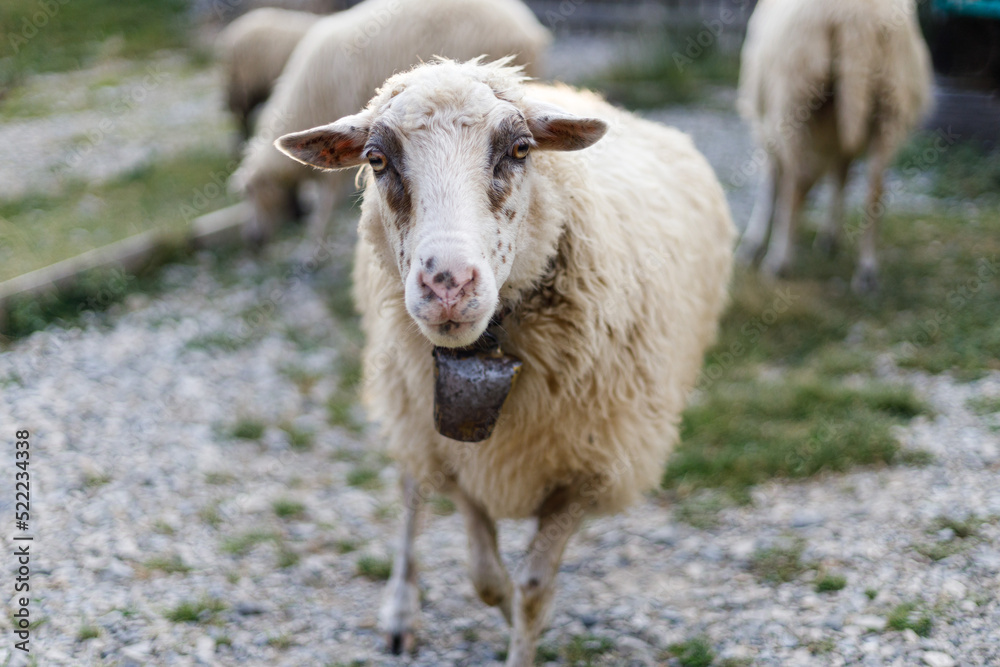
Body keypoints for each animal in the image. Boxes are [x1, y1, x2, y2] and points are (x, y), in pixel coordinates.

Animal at [232, 0, 551, 246]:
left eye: (252, 193)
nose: (253, 240)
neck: (304, 102)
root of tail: (530, 26)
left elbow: (326, 199)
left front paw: (315, 241)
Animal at [275, 58, 735, 665]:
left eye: (520, 149)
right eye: (376, 159)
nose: (448, 284)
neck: (487, 349)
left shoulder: (589, 471)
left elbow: (533, 587)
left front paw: (525, 624)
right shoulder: (455, 455)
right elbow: (485, 577)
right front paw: (499, 611)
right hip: (406, 403)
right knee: (411, 492)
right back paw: (400, 609)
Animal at [734, 0, 933, 293]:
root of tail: (856, 19)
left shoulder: (767, 123)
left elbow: (770, 182)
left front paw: (752, 244)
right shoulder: (837, 141)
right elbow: (841, 176)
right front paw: (830, 236)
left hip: (794, 93)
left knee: (793, 185)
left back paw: (779, 262)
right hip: (892, 99)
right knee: (874, 190)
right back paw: (867, 272)